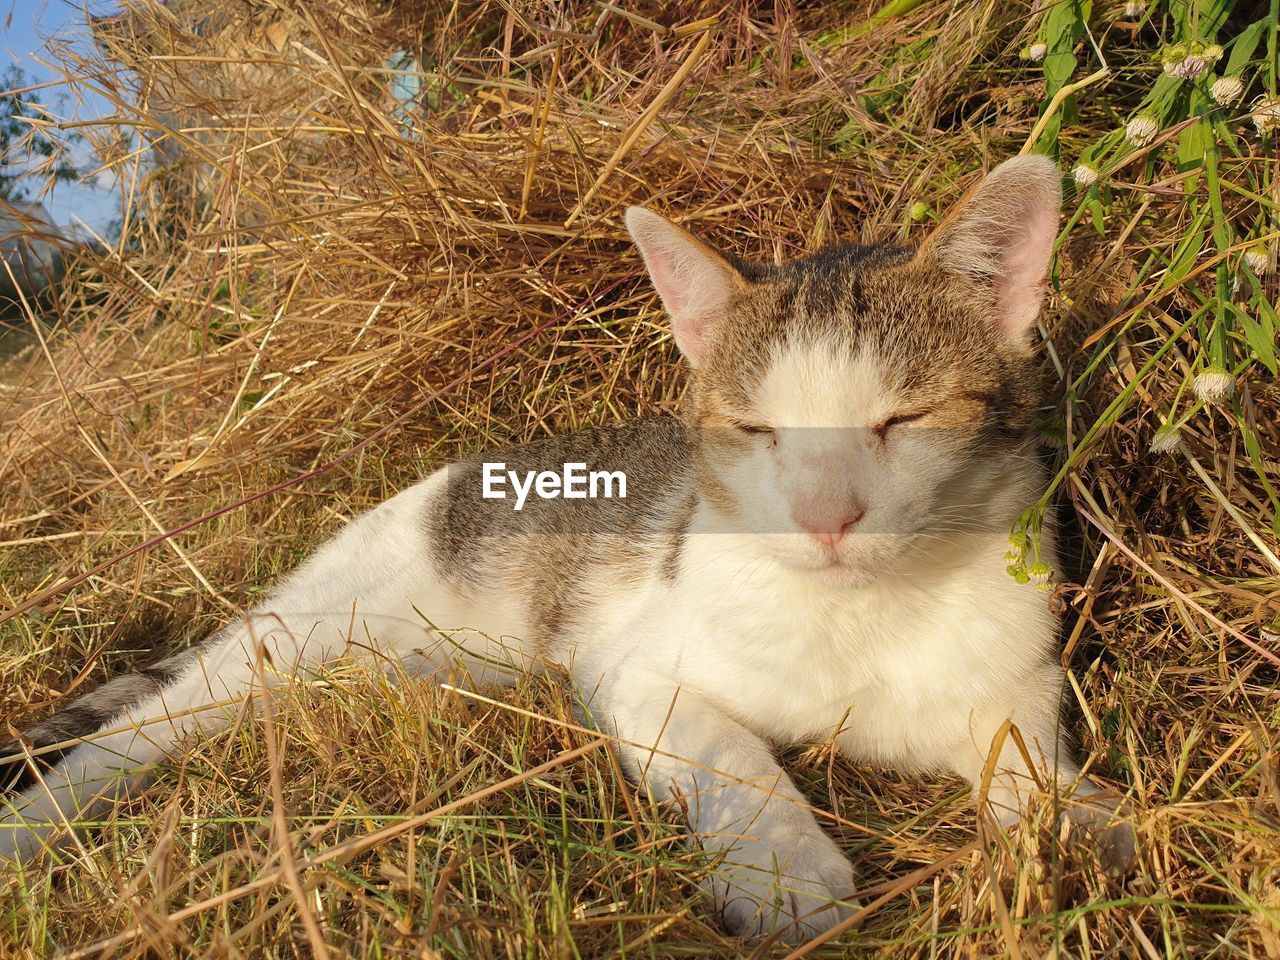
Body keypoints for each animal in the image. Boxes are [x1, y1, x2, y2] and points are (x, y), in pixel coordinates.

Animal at [0, 158, 1131, 947]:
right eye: (754, 429)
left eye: (903, 419)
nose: (824, 517)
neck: (863, 615)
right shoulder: (633, 670)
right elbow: (731, 757)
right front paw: (781, 873)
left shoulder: (1017, 674)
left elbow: (1029, 761)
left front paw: (1090, 822)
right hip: (292, 637)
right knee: (126, 739)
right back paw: (32, 832)